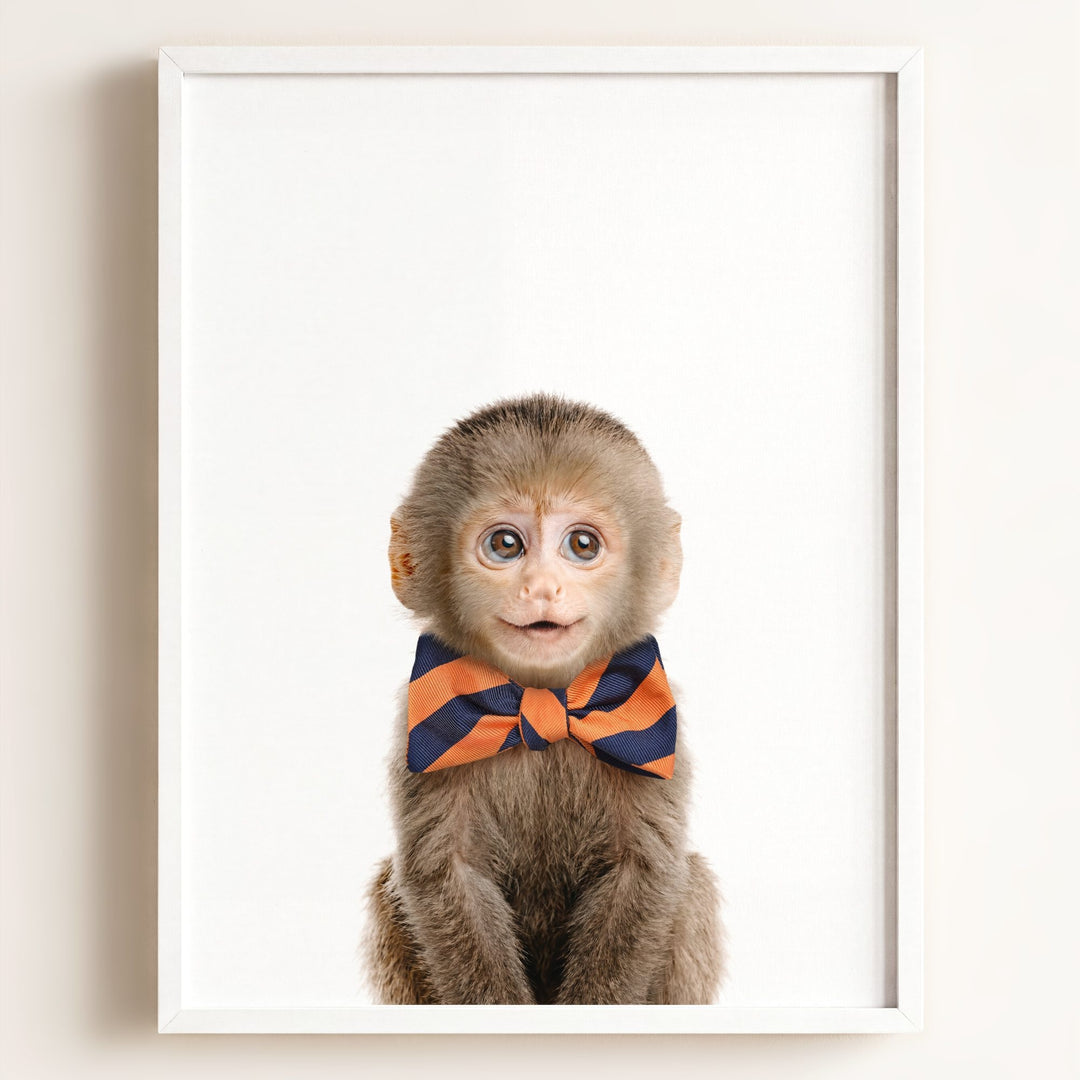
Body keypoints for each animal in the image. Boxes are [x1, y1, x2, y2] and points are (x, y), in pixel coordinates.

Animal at [363, 394, 723, 1005]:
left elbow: (644, 872)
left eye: (582, 544)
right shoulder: (423, 726)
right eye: (505, 545)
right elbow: (446, 874)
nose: (541, 588)